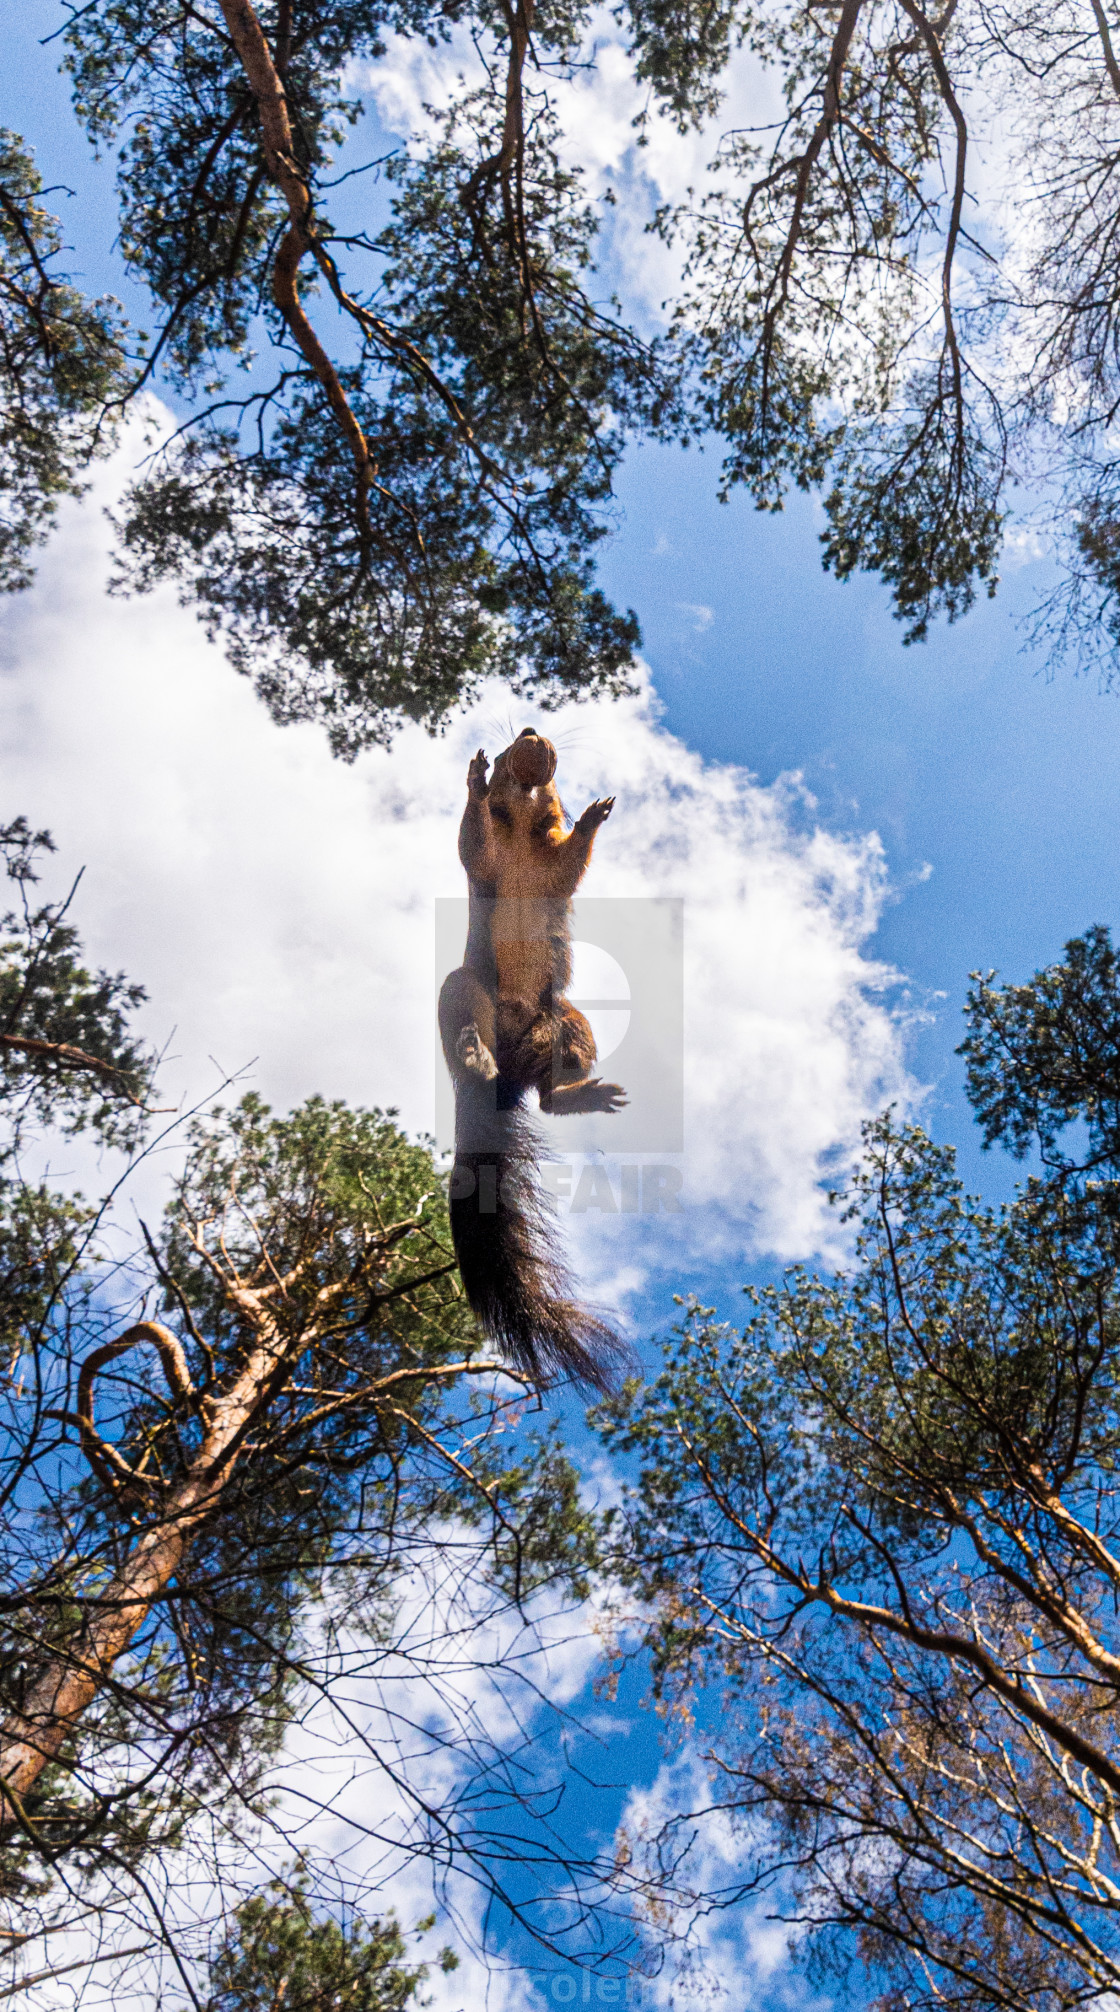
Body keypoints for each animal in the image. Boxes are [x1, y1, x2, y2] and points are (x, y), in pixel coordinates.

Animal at [438, 732, 627, 1392]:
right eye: (508, 746)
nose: (530, 736)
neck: (520, 832)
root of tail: (506, 1079)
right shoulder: (485, 862)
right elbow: (470, 838)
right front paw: (472, 779)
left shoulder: (552, 869)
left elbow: (571, 863)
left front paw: (595, 814)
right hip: (465, 987)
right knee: (466, 1017)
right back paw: (473, 1052)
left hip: (568, 1020)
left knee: (548, 1096)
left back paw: (577, 1092)